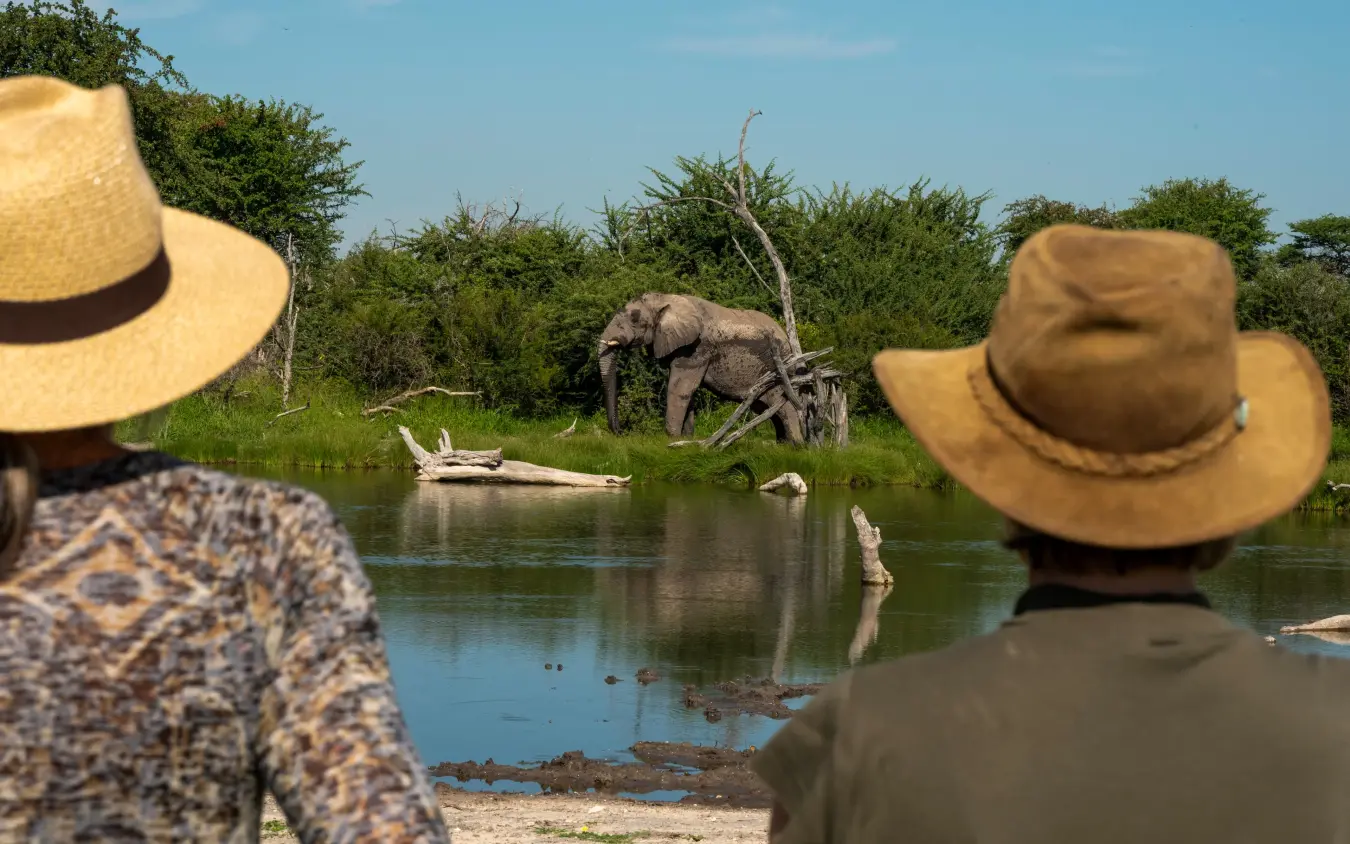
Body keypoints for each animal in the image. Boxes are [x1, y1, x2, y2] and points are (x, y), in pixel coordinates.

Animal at [596, 292, 805, 443]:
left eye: (634, 319)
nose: (621, 432)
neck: (664, 298)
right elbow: (687, 391)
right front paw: (686, 438)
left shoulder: (697, 348)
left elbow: (680, 388)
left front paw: (672, 439)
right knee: (766, 407)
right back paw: (782, 445)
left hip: (776, 367)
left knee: (781, 404)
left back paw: (796, 446)